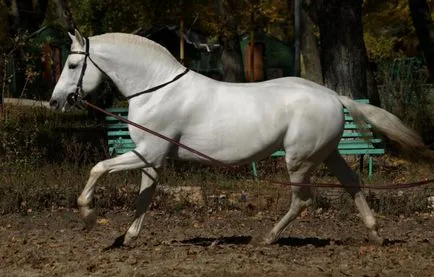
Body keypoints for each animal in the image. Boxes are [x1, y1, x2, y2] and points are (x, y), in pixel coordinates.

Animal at [50, 29, 428, 246]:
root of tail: (334, 96)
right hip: (328, 154)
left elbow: (98, 168)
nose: (55, 101)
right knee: (352, 184)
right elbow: (144, 197)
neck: (156, 90)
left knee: (303, 201)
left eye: (72, 65)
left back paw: (267, 238)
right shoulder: (152, 159)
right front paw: (128, 237)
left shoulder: (146, 153)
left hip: (299, 160)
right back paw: (375, 233)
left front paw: (88, 216)